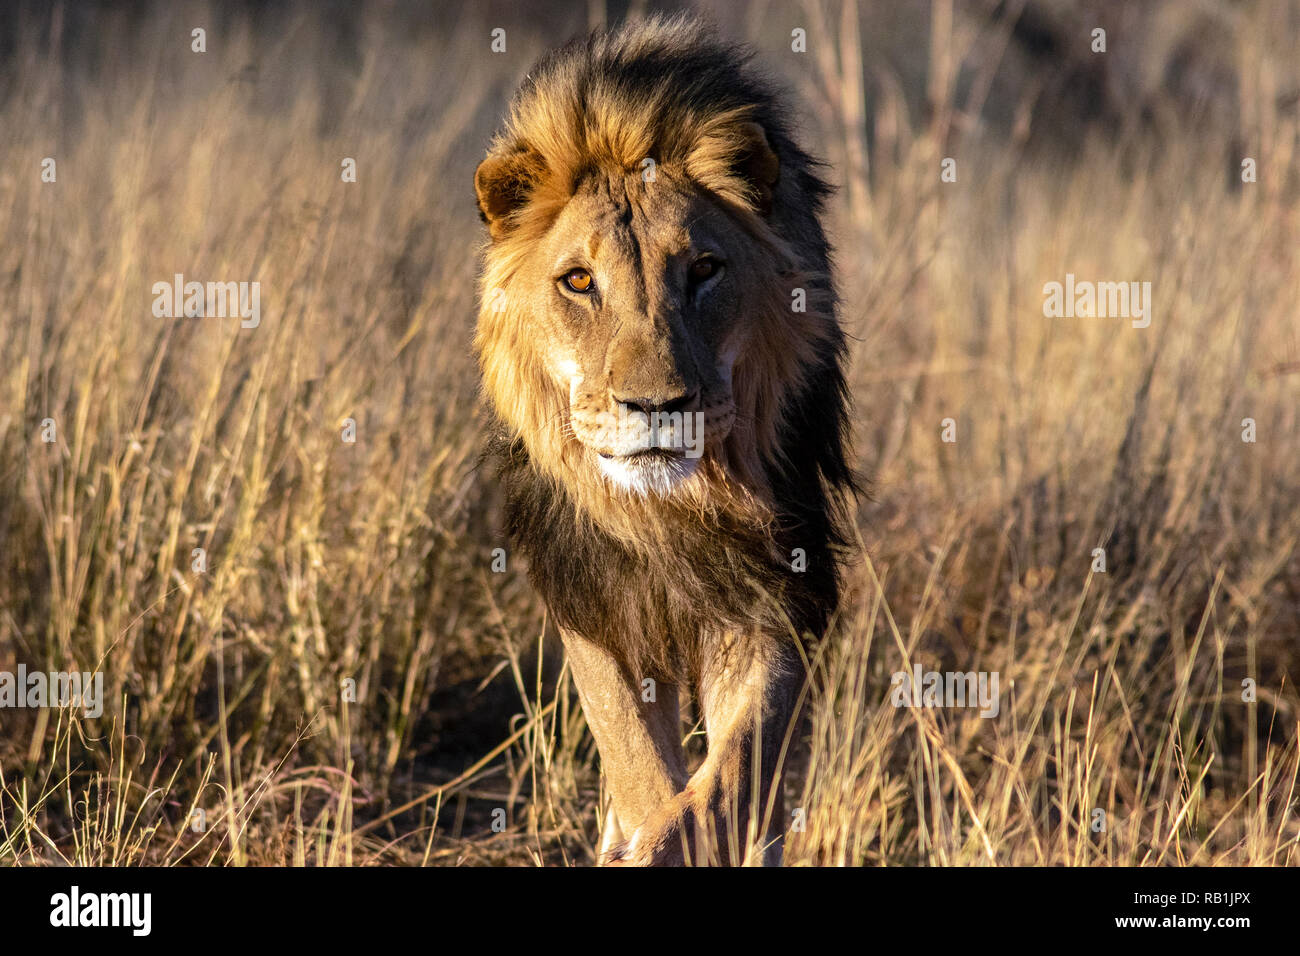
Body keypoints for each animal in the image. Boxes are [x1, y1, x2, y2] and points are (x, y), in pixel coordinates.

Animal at [475, 14, 852, 868]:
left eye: (704, 270)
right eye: (579, 281)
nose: (657, 405)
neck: (666, 512)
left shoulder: (772, 588)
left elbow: (733, 771)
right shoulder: (594, 594)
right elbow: (638, 763)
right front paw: (640, 836)